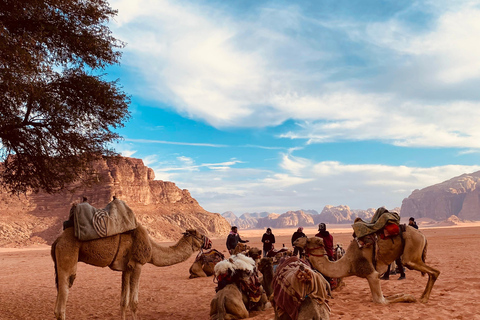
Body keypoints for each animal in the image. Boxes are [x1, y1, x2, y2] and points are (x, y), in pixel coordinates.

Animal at [51, 225, 211, 320]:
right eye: (200, 235)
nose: (209, 242)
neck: (152, 249)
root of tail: (57, 240)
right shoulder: (137, 264)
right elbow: (134, 303)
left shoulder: (127, 268)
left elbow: (123, 302)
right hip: (67, 257)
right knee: (61, 307)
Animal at [292, 225, 438, 302]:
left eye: (308, 240)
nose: (295, 241)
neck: (348, 263)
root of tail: (422, 234)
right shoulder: (372, 275)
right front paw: (405, 295)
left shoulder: (371, 274)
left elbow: (381, 301)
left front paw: (409, 297)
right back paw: (423, 297)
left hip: (412, 247)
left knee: (433, 271)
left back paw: (423, 298)